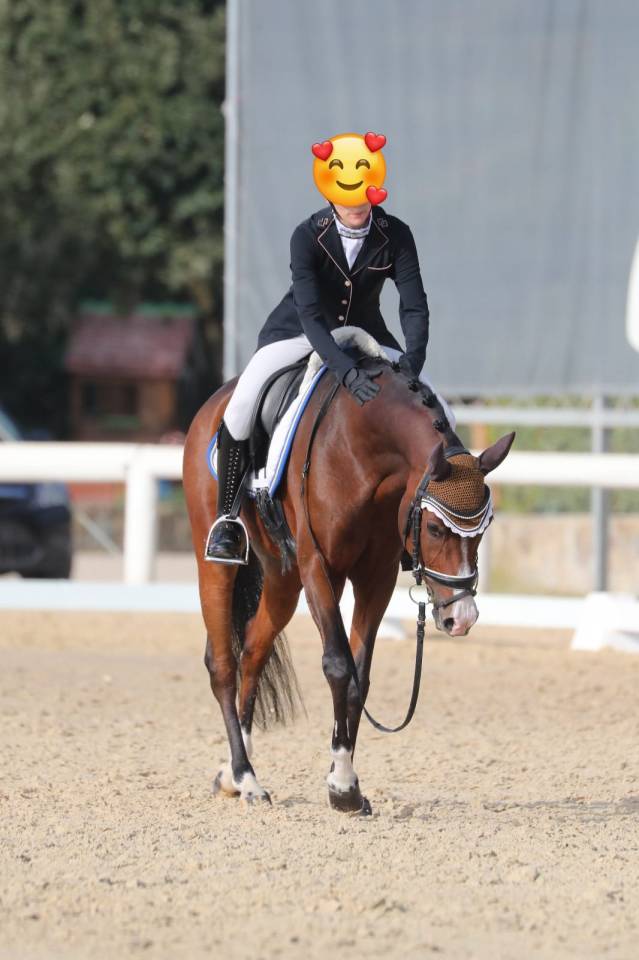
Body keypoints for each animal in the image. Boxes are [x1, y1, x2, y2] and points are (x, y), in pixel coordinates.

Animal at [183, 350, 514, 814]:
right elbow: (339, 666)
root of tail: (214, 403)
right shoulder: (319, 567)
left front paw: (347, 786)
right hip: (216, 563)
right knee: (222, 665)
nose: (461, 618)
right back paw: (248, 779)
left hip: (282, 580)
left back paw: (232, 774)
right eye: (434, 529)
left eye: (485, 530)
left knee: (252, 652)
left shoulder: (375, 576)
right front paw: (341, 786)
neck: (366, 452)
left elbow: (361, 675)